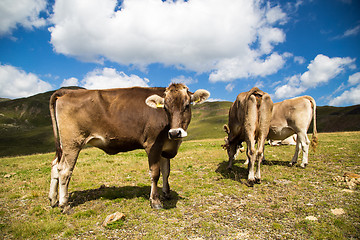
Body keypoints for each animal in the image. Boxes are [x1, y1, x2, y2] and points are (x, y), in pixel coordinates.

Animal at [49, 83, 210, 211]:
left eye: (187, 105)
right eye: (165, 107)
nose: (175, 132)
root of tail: (67, 91)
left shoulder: (165, 147)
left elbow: (166, 171)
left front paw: (166, 193)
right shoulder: (153, 145)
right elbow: (155, 173)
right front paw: (155, 201)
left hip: (63, 146)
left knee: (55, 165)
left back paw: (53, 199)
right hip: (72, 142)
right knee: (65, 171)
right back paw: (64, 205)